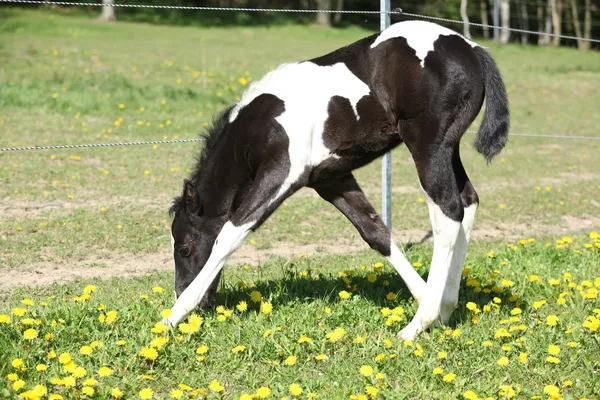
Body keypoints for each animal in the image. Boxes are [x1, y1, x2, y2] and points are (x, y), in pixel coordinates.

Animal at [166, 20, 508, 340]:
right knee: (468, 201)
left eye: (183, 248)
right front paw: (425, 296)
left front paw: (173, 316)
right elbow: (374, 233)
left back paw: (415, 327)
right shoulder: (331, 179)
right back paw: (445, 308)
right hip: (449, 148)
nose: (199, 302)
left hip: (428, 147)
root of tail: (472, 48)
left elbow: (231, 232)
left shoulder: (282, 173)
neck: (259, 123)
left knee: (447, 212)